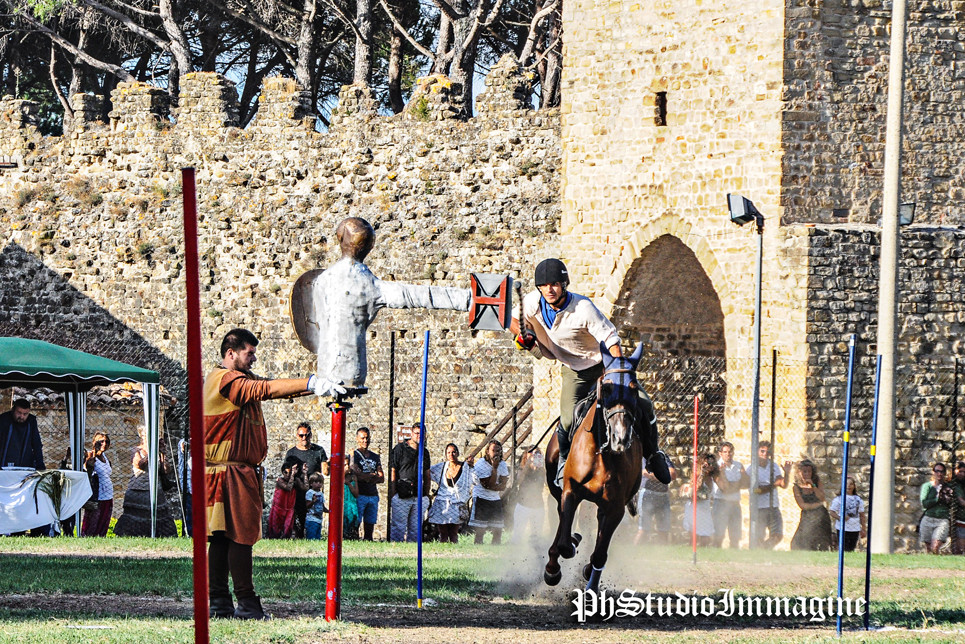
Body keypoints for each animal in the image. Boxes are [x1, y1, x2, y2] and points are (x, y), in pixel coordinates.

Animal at [544, 340, 648, 592]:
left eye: (633, 388)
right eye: (607, 388)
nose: (621, 437)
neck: (602, 456)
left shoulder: (615, 507)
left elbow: (600, 553)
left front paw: (590, 581)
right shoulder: (570, 492)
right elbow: (564, 542)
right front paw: (561, 557)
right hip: (557, 489)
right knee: (561, 520)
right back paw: (556, 562)